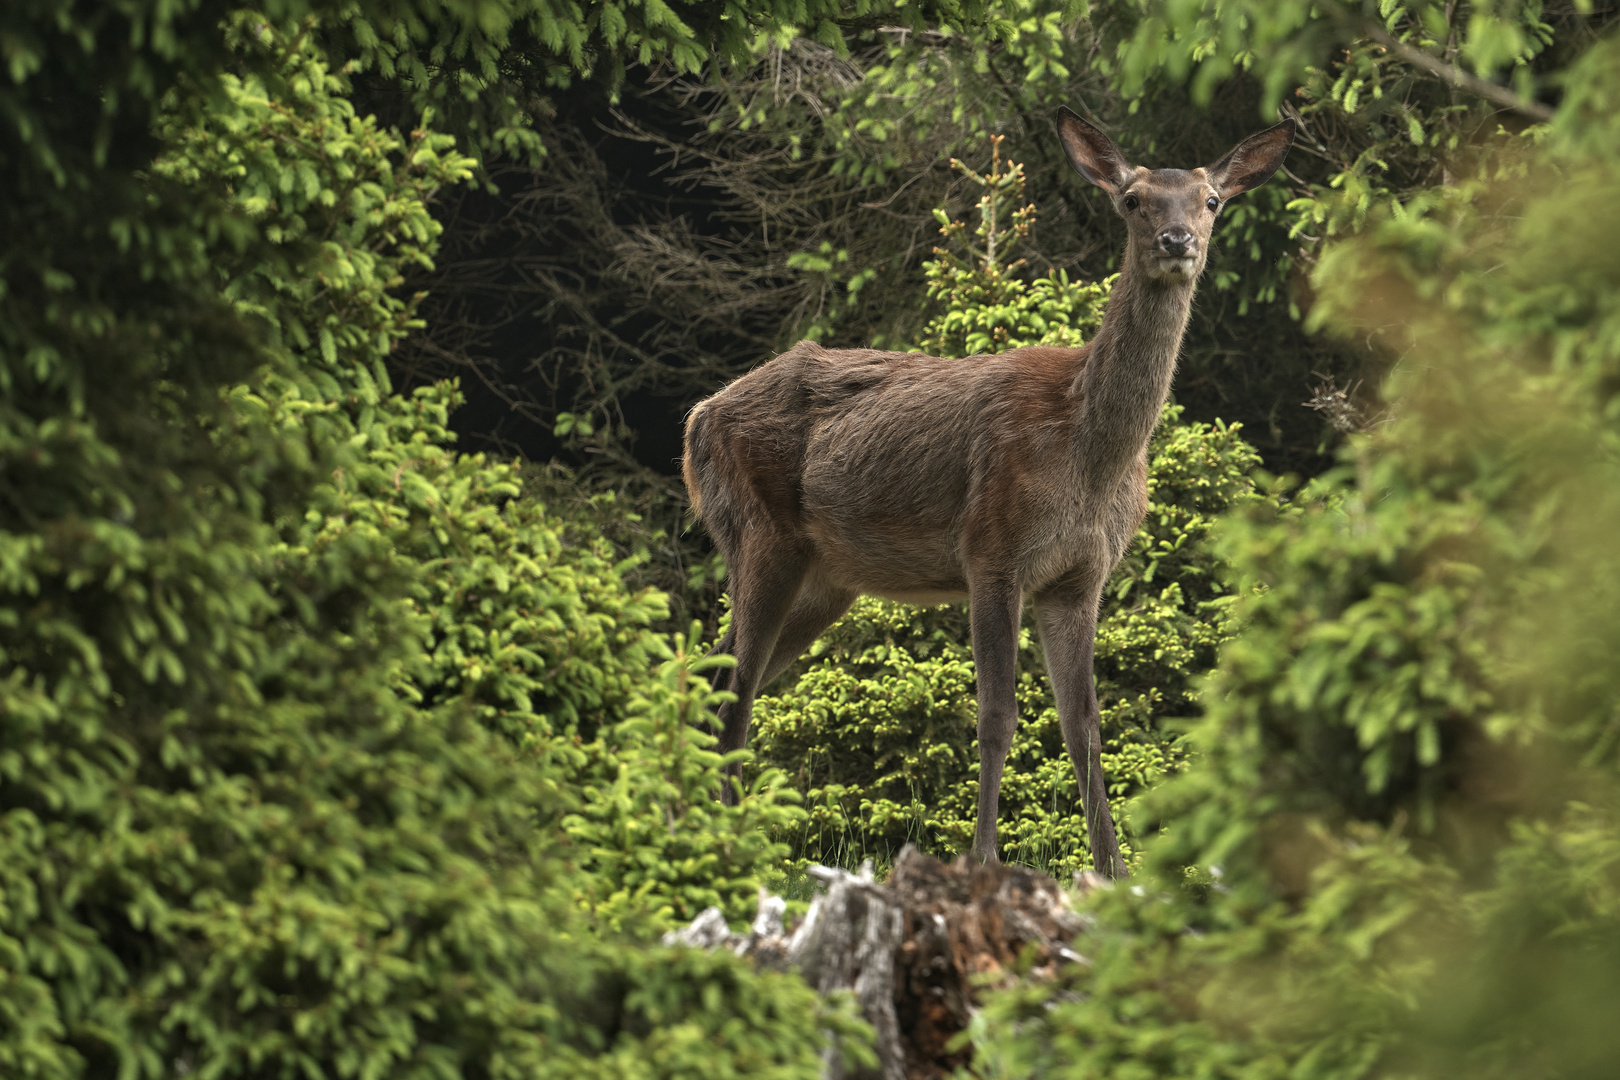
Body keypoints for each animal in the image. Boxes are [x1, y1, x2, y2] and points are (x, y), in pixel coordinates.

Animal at [680, 105, 1289, 880]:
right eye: (1133, 200)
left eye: (1211, 201)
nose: (1176, 241)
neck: (1090, 459)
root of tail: (698, 419)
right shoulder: (991, 550)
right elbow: (997, 716)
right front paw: (984, 859)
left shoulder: (1079, 576)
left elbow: (1085, 726)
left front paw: (1115, 872)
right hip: (760, 532)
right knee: (731, 696)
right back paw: (728, 848)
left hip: (825, 579)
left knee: (713, 681)